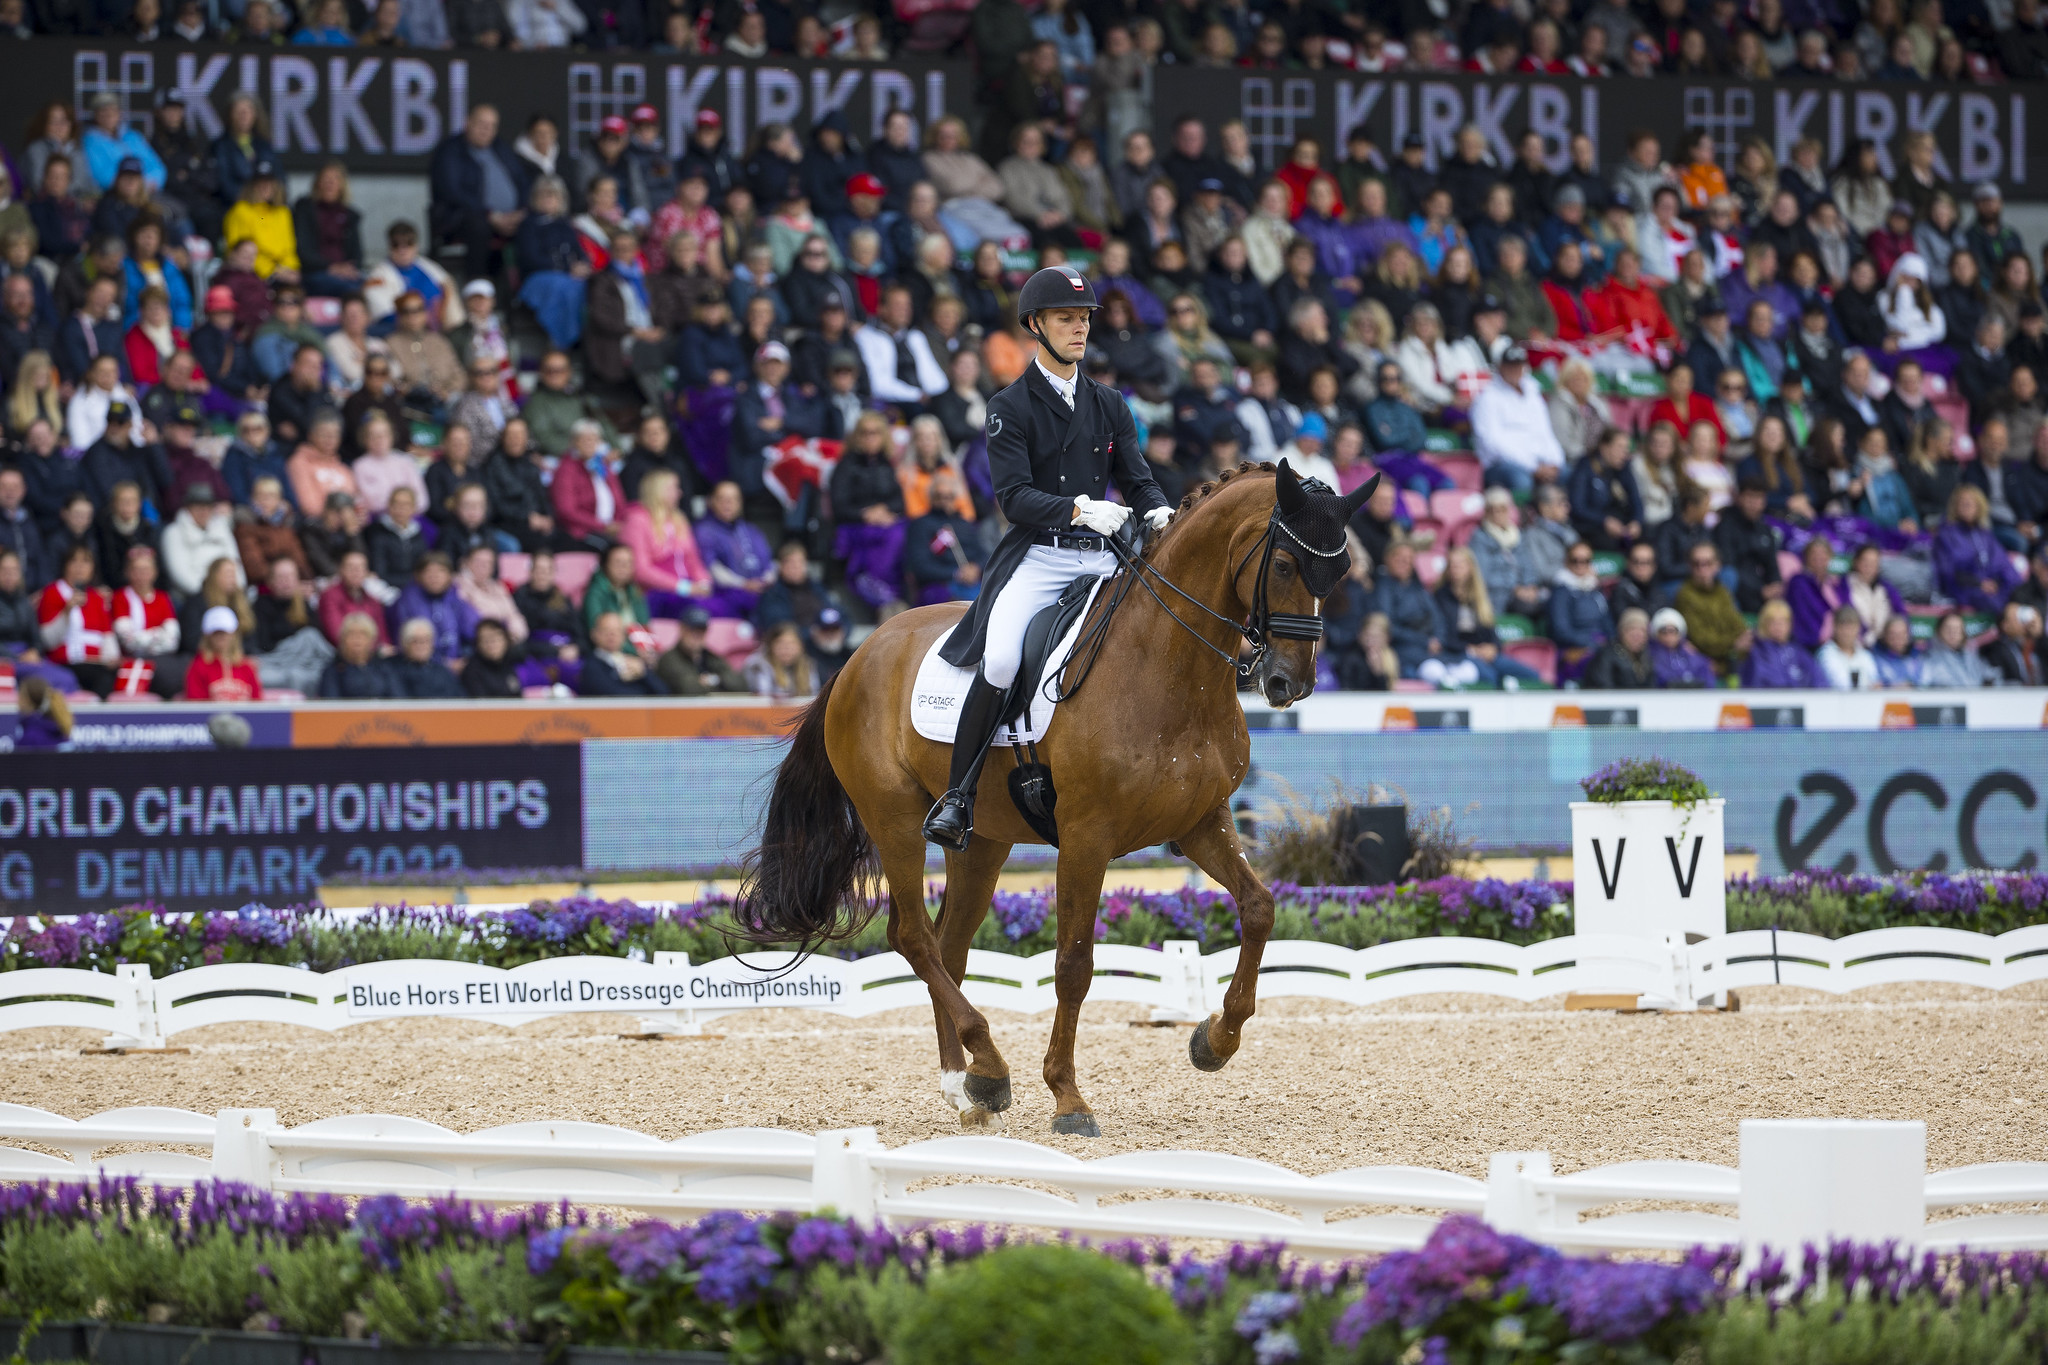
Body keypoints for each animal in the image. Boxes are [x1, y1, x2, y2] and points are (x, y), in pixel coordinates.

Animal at [734, 462, 1377, 1136]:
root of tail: (859, 655)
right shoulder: (1086, 837)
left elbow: (1259, 908)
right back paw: (987, 1066)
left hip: (982, 842)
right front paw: (1068, 1098)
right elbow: (1073, 964)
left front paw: (1214, 1040)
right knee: (912, 935)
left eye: (1339, 573)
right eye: (1283, 566)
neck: (1169, 665)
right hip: (896, 822)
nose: (1289, 683)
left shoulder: (1202, 821)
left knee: (948, 947)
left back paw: (967, 1086)